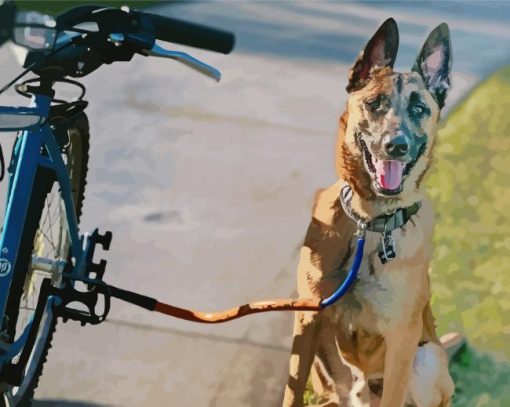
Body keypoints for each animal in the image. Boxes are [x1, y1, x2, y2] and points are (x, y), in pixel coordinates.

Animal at [282, 18, 454, 407]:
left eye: (419, 109)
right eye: (375, 103)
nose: (396, 146)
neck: (369, 222)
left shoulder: (403, 339)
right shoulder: (308, 318)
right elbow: (290, 392)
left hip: (427, 358)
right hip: (324, 366)